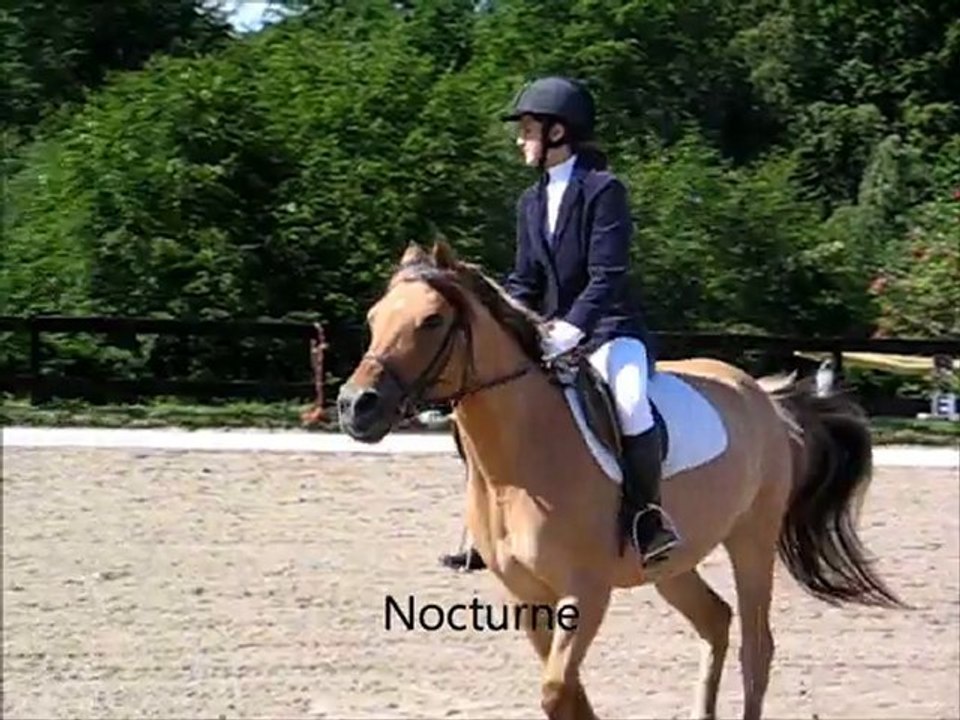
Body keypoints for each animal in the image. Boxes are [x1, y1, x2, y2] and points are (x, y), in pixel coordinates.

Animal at [335, 240, 906, 720]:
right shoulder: (527, 595)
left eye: (432, 320)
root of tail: (765, 397)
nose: (354, 406)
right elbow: (567, 693)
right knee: (716, 620)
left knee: (756, 647)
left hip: (751, 540)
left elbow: (559, 690)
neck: (516, 466)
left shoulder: (586, 592)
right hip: (672, 562)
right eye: (373, 318)